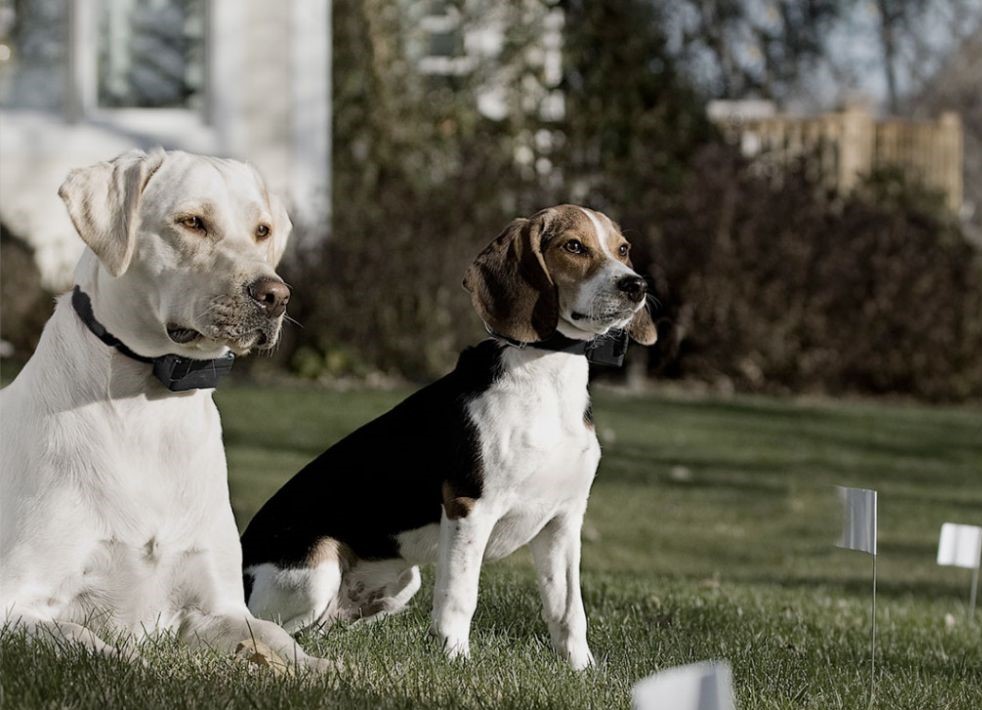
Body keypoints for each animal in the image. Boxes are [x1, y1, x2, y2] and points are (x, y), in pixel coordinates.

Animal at [0, 150, 330, 672]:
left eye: (261, 230)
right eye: (192, 222)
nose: (275, 296)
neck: (150, 407)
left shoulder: (218, 608)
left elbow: (276, 636)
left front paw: (327, 670)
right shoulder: (16, 601)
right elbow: (85, 641)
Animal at [239, 204, 656, 668]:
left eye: (623, 249)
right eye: (575, 247)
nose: (636, 285)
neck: (546, 370)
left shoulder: (564, 519)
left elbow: (569, 609)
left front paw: (581, 669)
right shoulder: (470, 508)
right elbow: (461, 595)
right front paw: (455, 657)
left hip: (403, 581)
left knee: (329, 626)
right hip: (319, 568)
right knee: (272, 626)